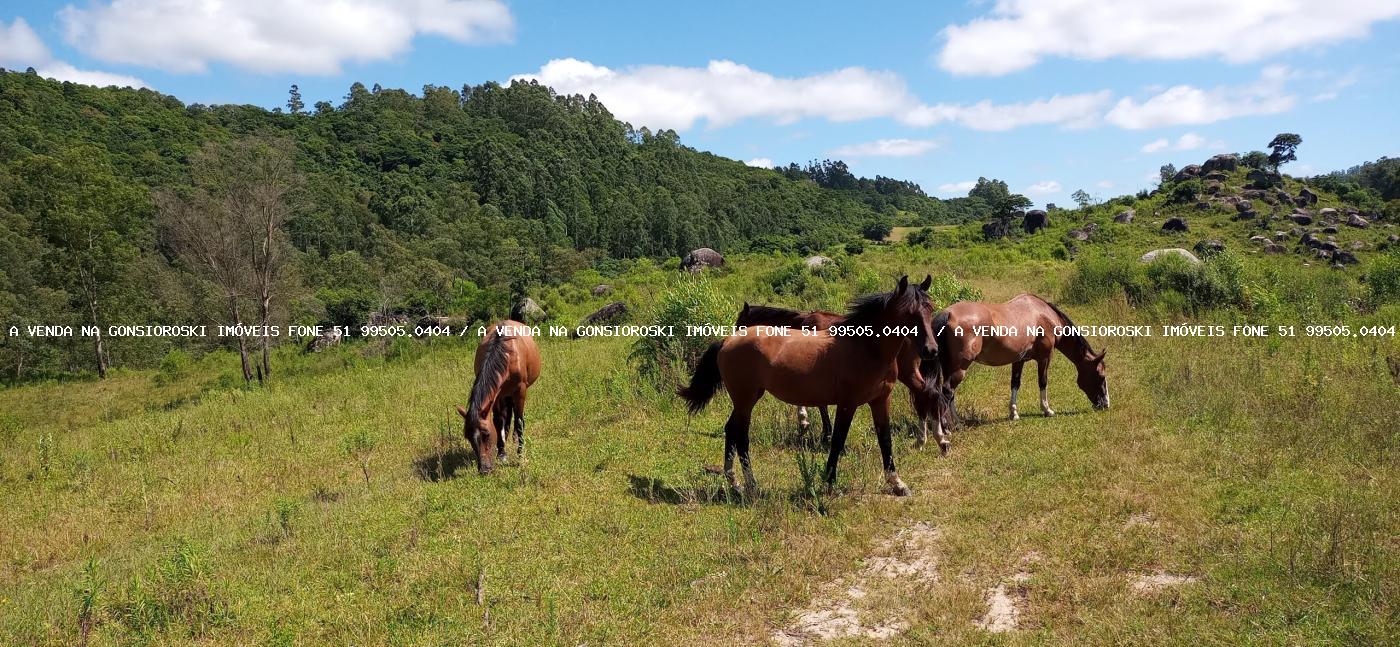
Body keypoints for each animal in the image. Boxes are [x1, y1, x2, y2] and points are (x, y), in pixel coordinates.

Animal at [456, 319, 537, 476]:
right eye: (468, 437)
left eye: (486, 434)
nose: (484, 469)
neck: (506, 354)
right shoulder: (497, 394)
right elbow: (499, 421)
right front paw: (502, 453)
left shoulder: (521, 390)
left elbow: (519, 422)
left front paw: (520, 456)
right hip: (505, 394)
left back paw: (514, 437)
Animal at [733, 302, 952, 450]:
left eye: (740, 323)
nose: (732, 340)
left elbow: (820, 405)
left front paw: (822, 431)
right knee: (929, 396)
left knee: (928, 395)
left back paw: (930, 438)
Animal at [924, 295, 1108, 448]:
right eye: (1101, 375)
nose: (1105, 404)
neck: (1043, 315)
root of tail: (948, 313)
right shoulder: (1045, 358)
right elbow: (1043, 382)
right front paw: (1047, 410)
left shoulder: (1018, 360)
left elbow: (1015, 384)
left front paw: (1014, 413)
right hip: (960, 368)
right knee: (947, 392)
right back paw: (947, 429)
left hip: (950, 367)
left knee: (948, 394)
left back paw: (957, 424)